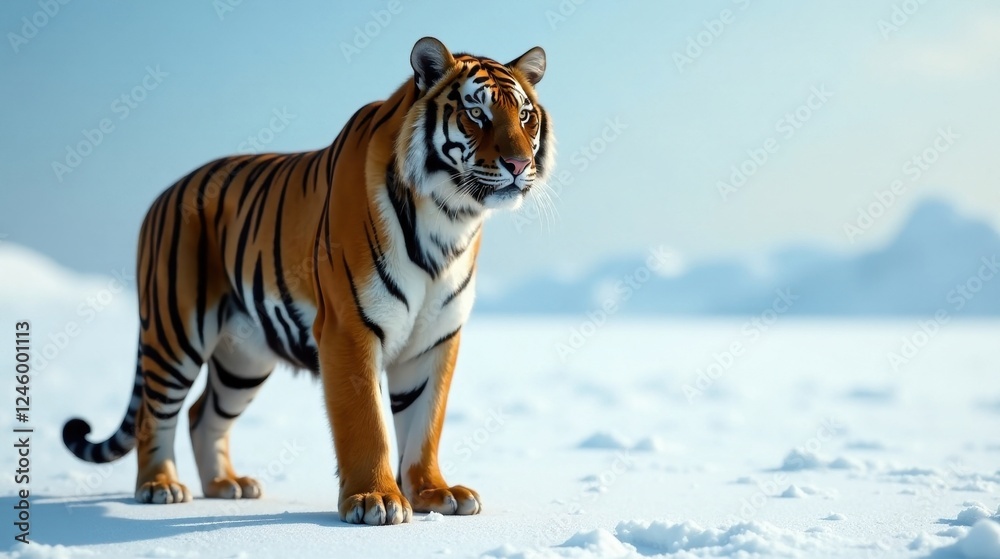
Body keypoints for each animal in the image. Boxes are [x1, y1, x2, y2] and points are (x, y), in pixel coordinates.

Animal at [61, 37, 553, 525]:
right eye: (476, 113)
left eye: (524, 116)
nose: (518, 163)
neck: (448, 219)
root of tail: (163, 194)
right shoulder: (349, 327)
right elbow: (367, 422)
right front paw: (375, 499)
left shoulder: (436, 338)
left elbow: (424, 424)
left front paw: (435, 493)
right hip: (174, 332)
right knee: (155, 413)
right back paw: (160, 486)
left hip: (244, 357)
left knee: (203, 415)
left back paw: (226, 485)